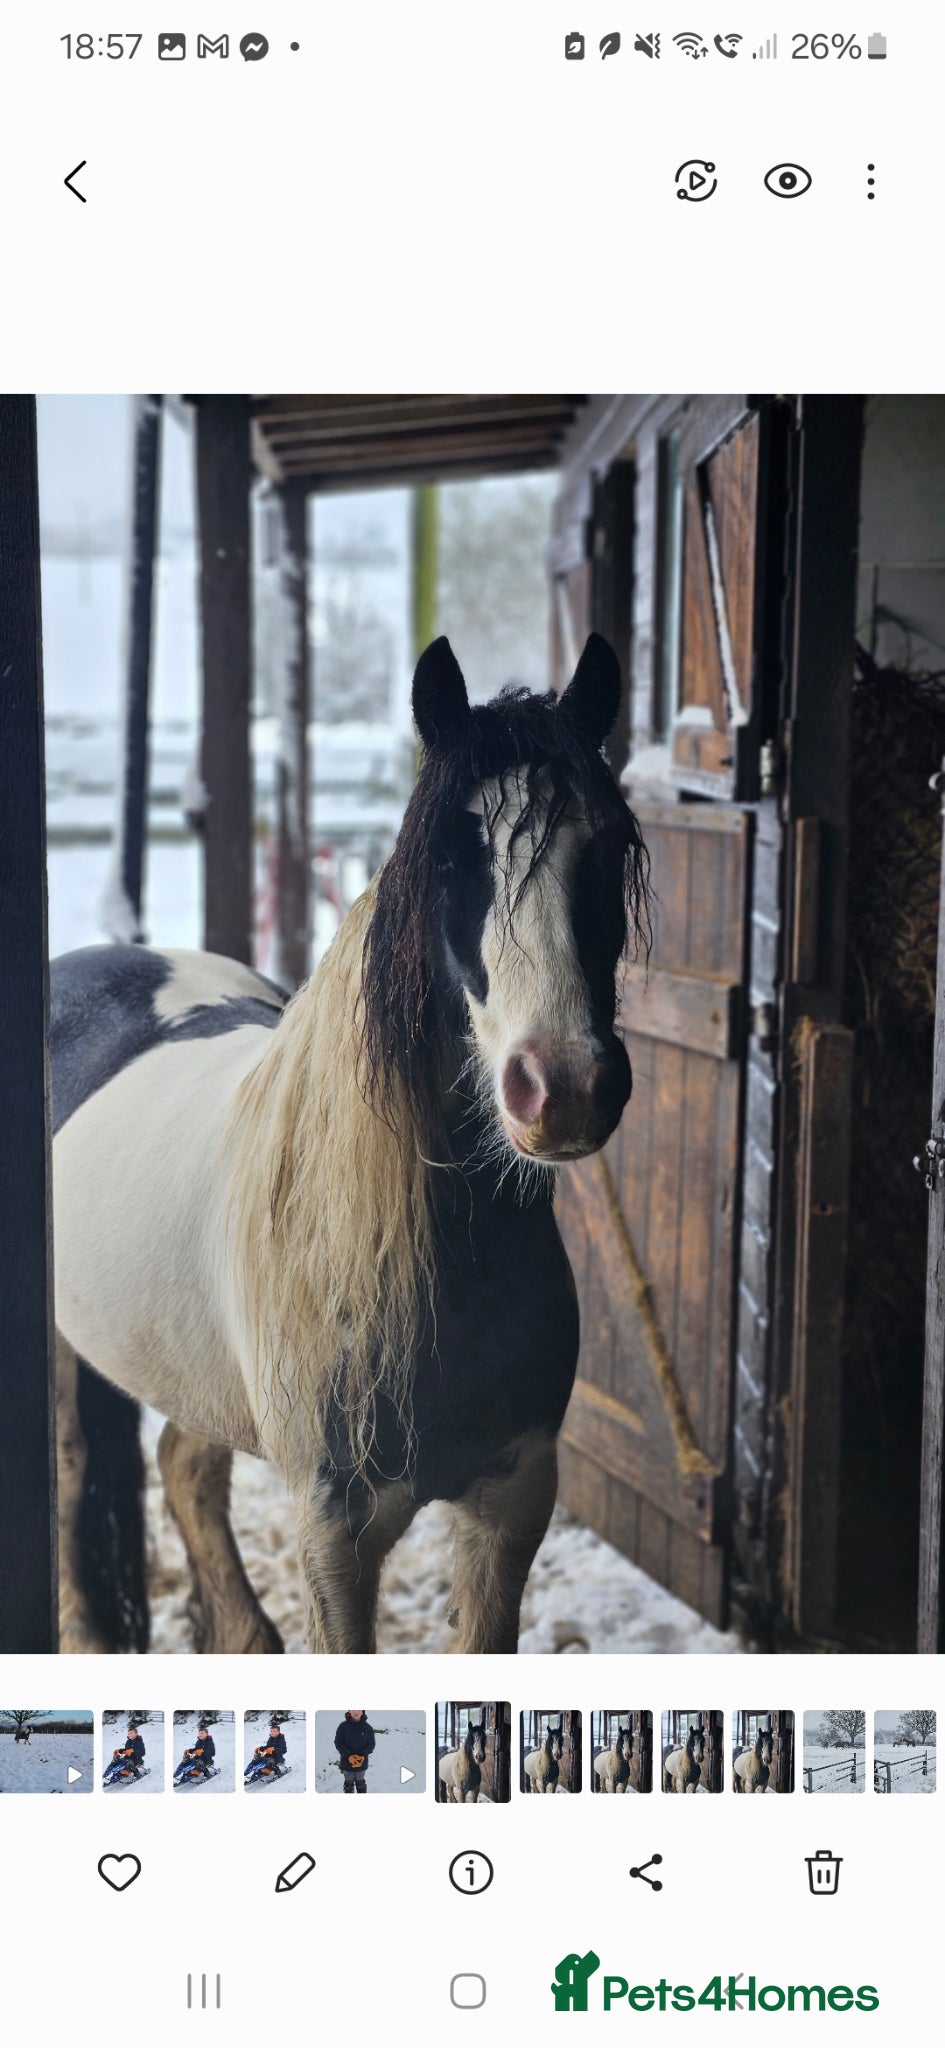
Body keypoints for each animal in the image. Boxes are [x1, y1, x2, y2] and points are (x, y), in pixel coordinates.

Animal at [50, 632, 649, 1656]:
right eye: (446, 861)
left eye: (605, 846)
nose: (563, 1087)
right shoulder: (338, 1533)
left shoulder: (511, 1506)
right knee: (73, 1475)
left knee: (184, 1464)